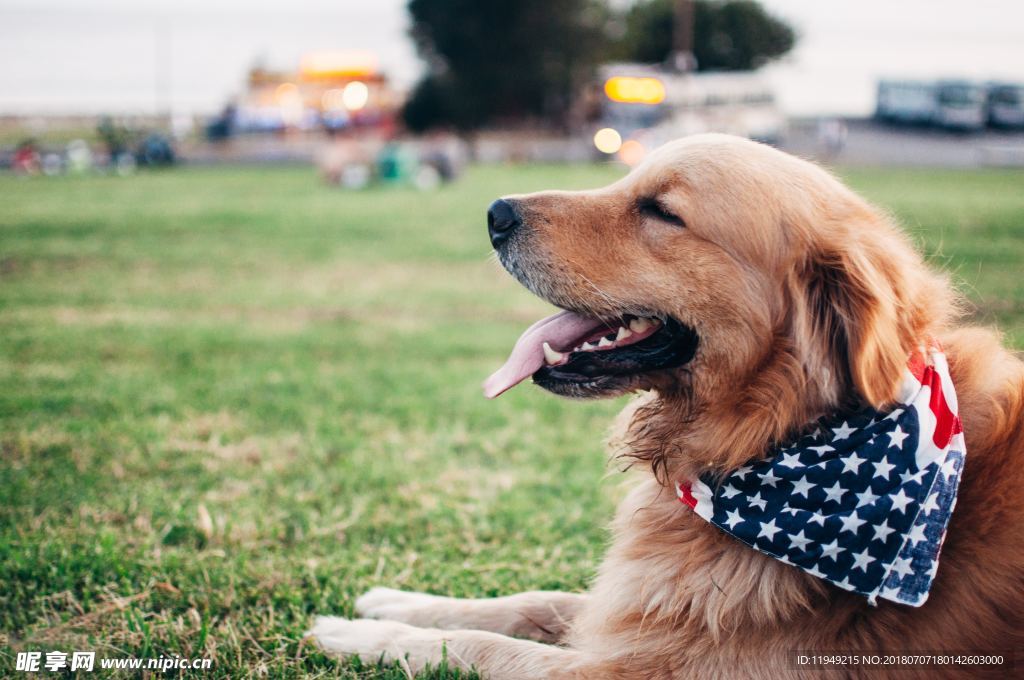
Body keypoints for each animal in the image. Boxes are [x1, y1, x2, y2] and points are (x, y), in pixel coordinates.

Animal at [311, 135, 1024, 675]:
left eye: (661, 211)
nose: (494, 213)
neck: (771, 435)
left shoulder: (633, 667)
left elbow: (476, 646)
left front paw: (357, 635)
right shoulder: (637, 608)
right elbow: (527, 601)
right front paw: (393, 602)